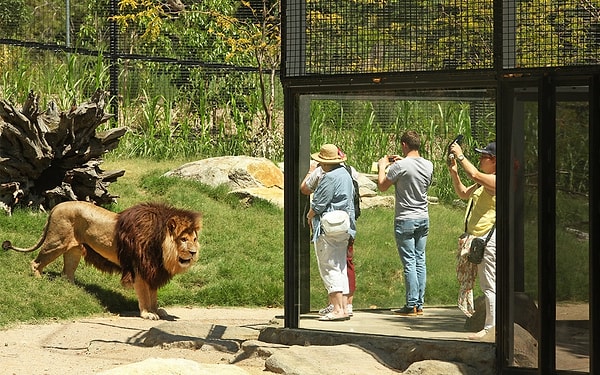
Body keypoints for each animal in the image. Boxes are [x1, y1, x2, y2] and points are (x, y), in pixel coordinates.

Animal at [1, 203, 204, 320]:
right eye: (183, 239)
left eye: (194, 239)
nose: (193, 253)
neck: (161, 246)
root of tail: (56, 206)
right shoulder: (139, 269)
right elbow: (144, 295)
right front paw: (148, 313)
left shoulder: (151, 270)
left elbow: (153, 295)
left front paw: (157, 310)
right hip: (56, 241)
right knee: (36, 262)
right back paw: (38, 279)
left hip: (74, 249)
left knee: (67, 273)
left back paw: (74, 289)